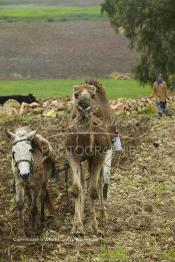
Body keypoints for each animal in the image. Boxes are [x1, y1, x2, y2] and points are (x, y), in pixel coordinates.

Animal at [65, 81, 117, 234]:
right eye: (76, 95)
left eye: (92, 95)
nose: (84, 102)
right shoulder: (72, 154)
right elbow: (77, 188)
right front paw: (77, 225)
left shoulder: (99, 155)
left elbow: (93, 190)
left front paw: (94, 226)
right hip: (85, 160)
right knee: (83, 183)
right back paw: (82, 214)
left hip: (104, 154)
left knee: (100, 181)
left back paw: (102, 212)